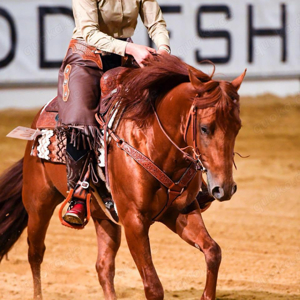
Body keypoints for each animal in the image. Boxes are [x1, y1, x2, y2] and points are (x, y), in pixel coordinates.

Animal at [0, 55, 246, 300]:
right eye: (204, 128)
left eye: (238, 127)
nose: (224, 188)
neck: (153, 142)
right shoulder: (133, 221)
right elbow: (153, 287)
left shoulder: (180, 211)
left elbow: (213, 251)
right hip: (38, 203)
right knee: (35, 253)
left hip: (103, 216)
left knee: (103, 266)